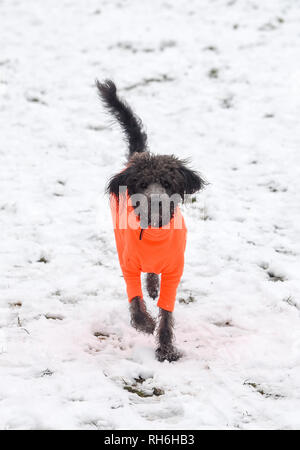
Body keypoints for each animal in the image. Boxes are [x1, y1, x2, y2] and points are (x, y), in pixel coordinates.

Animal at [97, 80, 205, 362]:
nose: (156, 201)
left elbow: (166, 313)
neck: (155, 232)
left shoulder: (174, 271)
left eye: (167, 183)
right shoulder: (129, 264)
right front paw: (145, 323)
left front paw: (166, 348)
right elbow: (135, 299)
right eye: (143, 183)